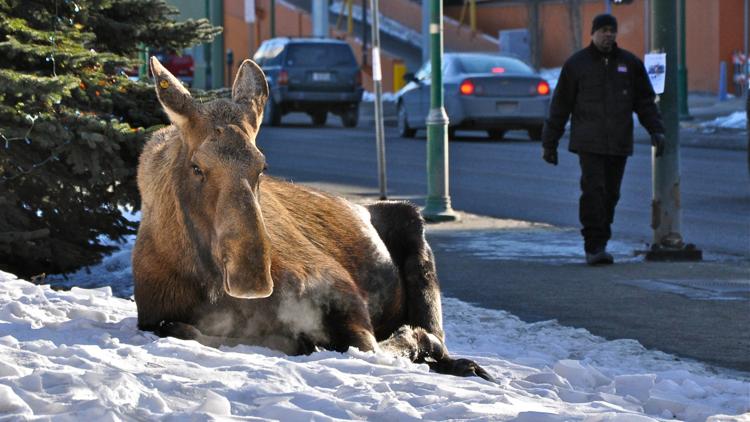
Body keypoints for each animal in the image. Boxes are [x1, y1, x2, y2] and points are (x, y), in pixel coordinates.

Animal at [132, 54, 490, 380]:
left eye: (262, 165)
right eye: (197, 167)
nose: (251, 276)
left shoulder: (340, 290)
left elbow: (369, 345)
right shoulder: (153, 316)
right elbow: (184, 329)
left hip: (414, 231)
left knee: (437, 337)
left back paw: (466, 364)